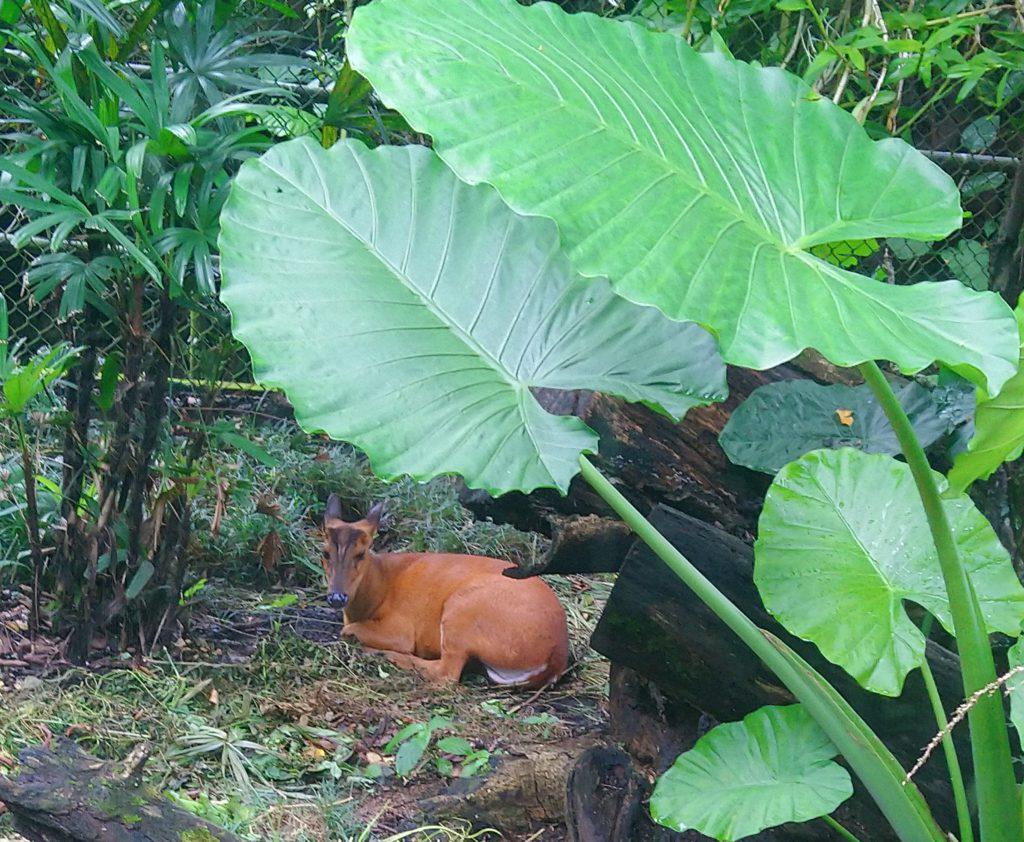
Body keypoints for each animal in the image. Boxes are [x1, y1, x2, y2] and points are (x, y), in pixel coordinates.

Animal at [321, 497, 569, 688]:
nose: (337, 597)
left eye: (361, 554)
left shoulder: (401, 628)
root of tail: (557, 655)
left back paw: (382, 654)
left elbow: (348, 630)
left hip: (463, 611)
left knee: (446, 673)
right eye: (324, 553)